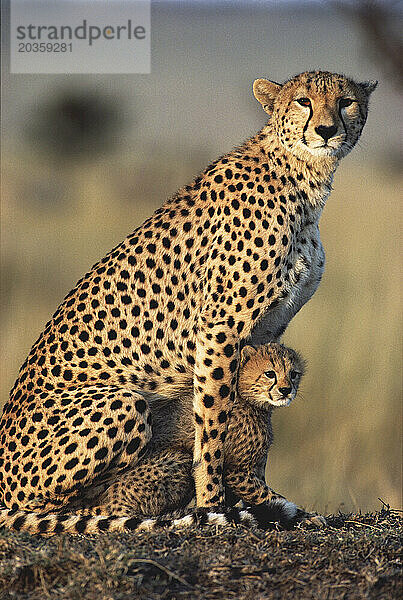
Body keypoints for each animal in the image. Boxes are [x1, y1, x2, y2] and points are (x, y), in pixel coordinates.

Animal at [0, 71, 378, 520]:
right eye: (304, 101)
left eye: (345, 102)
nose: (326, 130)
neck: (303, 178)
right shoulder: (220, 327)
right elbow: (213, 421)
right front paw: (214, 502)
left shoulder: (268, 329)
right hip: (124, 403)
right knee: (56, 507)